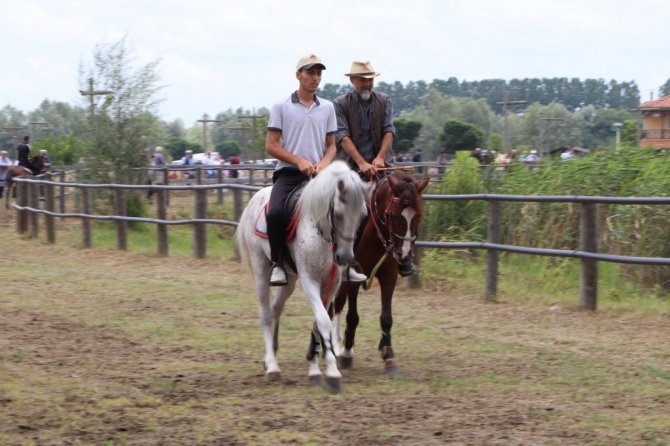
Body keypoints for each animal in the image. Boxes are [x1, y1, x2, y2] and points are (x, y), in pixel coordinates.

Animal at [235, 160, 370, 393]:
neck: (321, 232)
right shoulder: (309, 281)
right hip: (261, 270)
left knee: (276, 308)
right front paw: (331, 372)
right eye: (339, 213)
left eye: (362, 216)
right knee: (266, 314)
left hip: (289, 279)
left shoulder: (331, 284)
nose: (345, 257)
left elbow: (319, 323)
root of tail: (255, 197)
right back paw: (272, 366)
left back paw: (272, 354)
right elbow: (323, 321)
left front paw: (316, 369)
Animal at [329, 170, 430, 376]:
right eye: (393, 215)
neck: (374, 234)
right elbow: (353, 316)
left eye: (419, 216)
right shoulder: (353, 277)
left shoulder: (389, 276)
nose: (404, 256)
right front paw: (347, 353)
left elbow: (386, 318)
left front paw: (388, 356)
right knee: (335, 306)